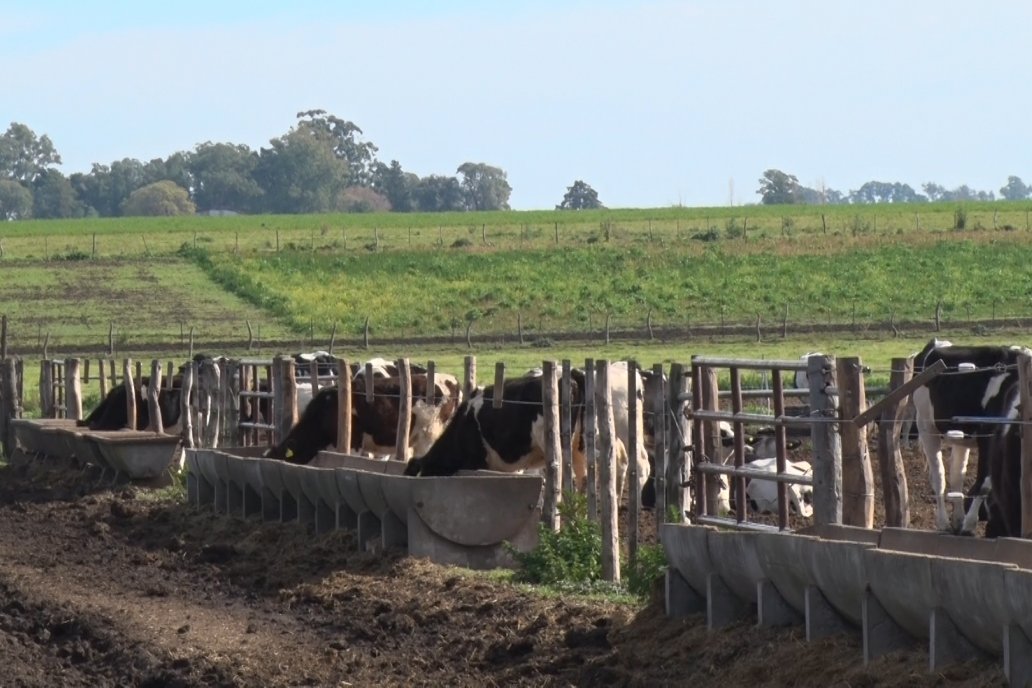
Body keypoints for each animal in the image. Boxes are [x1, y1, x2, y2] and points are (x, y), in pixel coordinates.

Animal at [912, 338, 1032, 532]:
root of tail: (936, 343)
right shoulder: (987, 436)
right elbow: (983, 483)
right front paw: (970, 525)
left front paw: (967, 521)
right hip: (925, 425)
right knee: (938, 476)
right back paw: (943, 523)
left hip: (960, 436)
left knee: (956, 475)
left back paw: (958, 519)